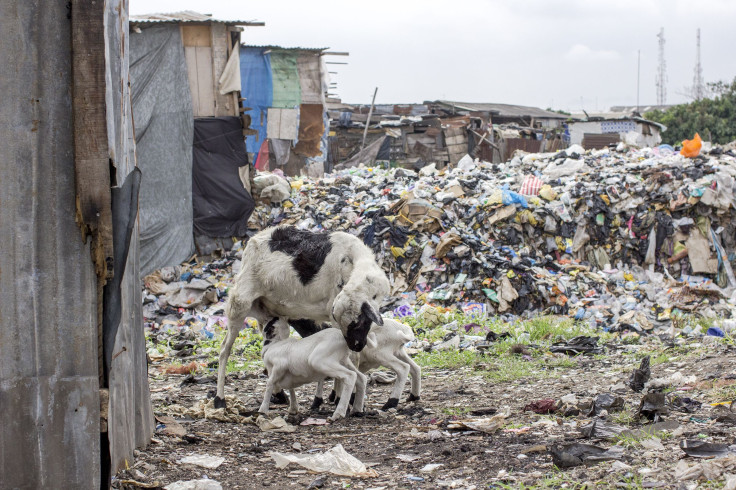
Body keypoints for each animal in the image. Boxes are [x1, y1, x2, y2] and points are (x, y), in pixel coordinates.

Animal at [214, 224, 392, 408]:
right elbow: (350, 356)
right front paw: (343, 397)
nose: (357, 345)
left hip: (269, 313)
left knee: (267, 344)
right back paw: (220, 399)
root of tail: (255, 238)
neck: (355, 260)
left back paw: (279, 395)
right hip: (240, 302)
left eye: (361, 321)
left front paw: (337, 396)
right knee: (224, 349)